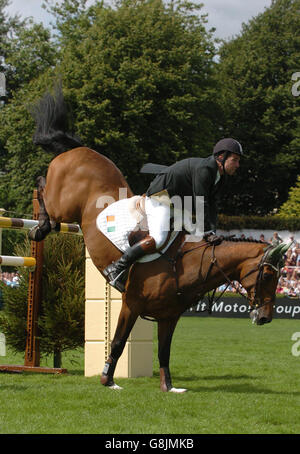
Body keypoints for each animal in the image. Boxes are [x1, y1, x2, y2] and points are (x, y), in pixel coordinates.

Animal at [28, 87, 288, 392]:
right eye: (268, 276)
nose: (266, 317)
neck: (186, 265)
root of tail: (78, 149)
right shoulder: (131, 304)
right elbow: (117, 343)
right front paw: (108, 380)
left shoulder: (168, 316)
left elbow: (164, 351)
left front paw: (168, 387)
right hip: (64, 205)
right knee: (42, 185)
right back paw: (40, 227)